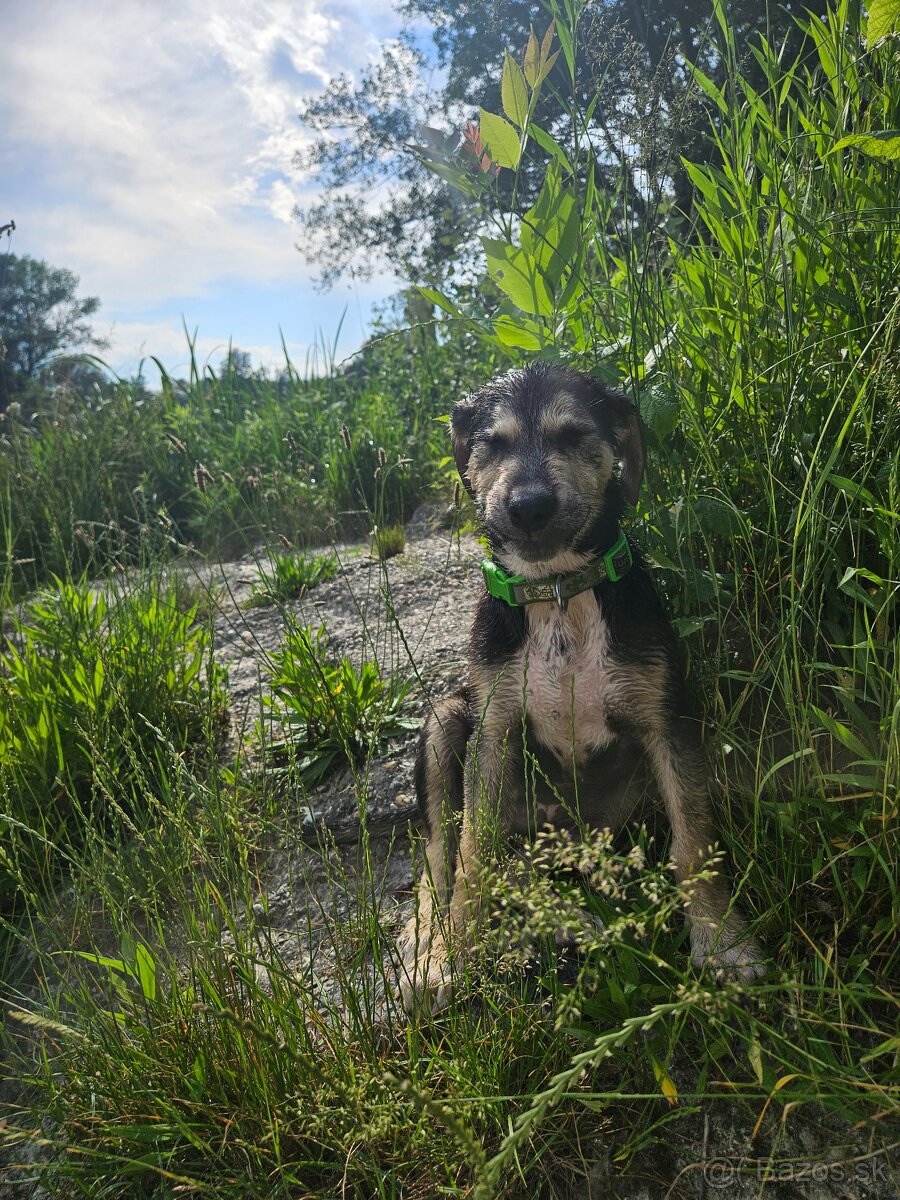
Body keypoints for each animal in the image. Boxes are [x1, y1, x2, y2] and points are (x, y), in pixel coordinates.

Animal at [398, 360, 763, 1008]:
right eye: (493, 444)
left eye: (573, 435)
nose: (529, 507)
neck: (559, 592)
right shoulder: (494, 731)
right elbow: (470, 857)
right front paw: (452, 955)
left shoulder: (668, 720)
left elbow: (693, 838)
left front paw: (721, 939)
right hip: (445, 722)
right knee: (438, 859)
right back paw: (430, 944)